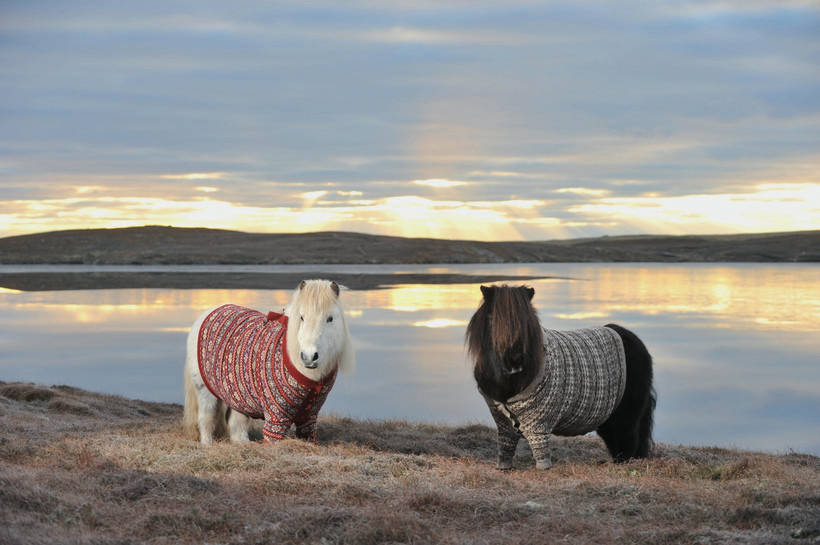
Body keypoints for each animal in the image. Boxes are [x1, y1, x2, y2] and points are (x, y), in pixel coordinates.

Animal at [184, 278, 354, 444]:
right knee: (206, 420)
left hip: (238, 398)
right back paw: (207, 445)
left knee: (237, 427)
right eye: (301, 317)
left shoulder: (309, 419)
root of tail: (208, 313)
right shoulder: (276, 418)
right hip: (205, 391)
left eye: (330, 318)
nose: (309, 357)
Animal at [464, 284, 656, 468]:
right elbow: (505, 447)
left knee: (628, 438)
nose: (515, 360)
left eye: (527, 321)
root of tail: (632, 339)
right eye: (493, 319)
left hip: (627, 413)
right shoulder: (504, 426)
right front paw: (504, 467)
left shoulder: (539, 425)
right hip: (609, 414)